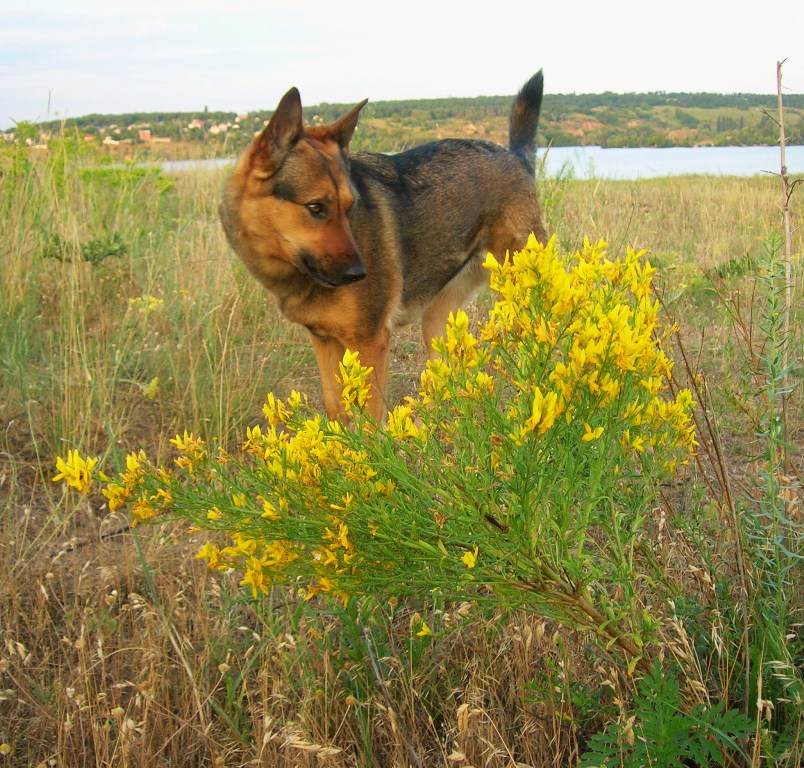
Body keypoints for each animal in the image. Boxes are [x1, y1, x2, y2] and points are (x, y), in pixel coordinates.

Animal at [220, 71, 548, 420]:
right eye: (316, 208)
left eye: (350, 206)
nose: (360, 274)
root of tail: (516, 156)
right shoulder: (324, 342)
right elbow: (336, 411)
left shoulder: (370, 343)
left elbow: (369, 422)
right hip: (436, 321)